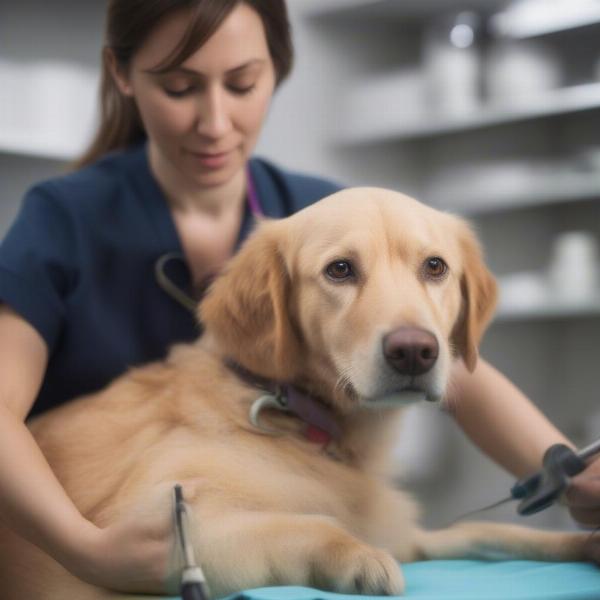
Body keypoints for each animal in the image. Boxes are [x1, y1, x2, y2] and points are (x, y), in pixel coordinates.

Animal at [0, 189, 596, 600]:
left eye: (435, 267)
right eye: (340, 270)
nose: (414, 352)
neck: (311, 425)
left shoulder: (406, 532)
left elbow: (484, 527)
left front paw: (582, 539)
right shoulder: (154, 525)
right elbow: (310, 523)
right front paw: (359, 559)